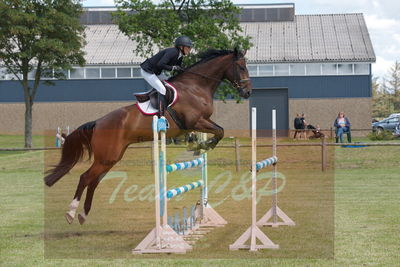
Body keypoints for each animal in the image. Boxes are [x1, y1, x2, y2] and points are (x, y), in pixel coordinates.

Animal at [43, 47, 253, 224]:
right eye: (241, 67)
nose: (248, 92)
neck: (196, 87)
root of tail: (98, 122)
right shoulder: (195, 122)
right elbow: (220, 131)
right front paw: (203, 146)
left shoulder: (200, 123)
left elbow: (218, 131)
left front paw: (198, 145)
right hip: (107, 157)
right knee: (85, 178)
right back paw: (71, 212)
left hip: (110, 158)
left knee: (94, 181)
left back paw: (83, 214)